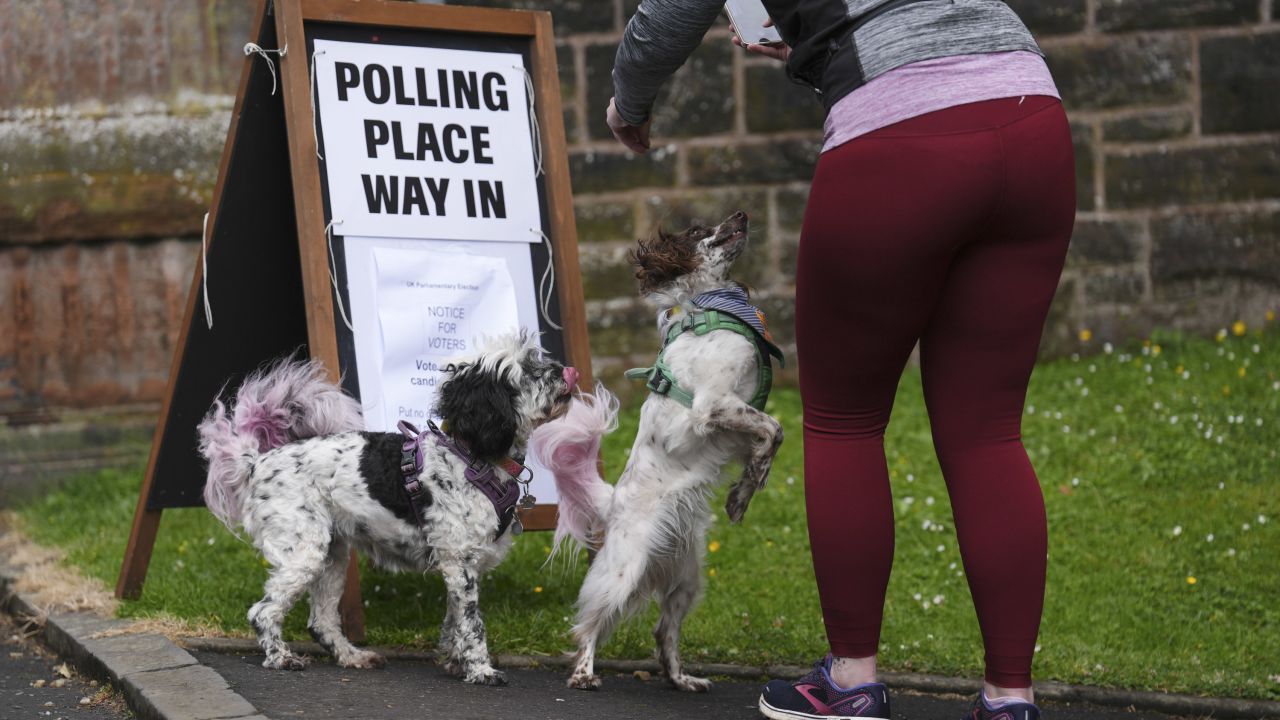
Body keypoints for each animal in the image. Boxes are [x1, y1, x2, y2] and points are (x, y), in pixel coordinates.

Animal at [197, 330, 578, 676]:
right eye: (527, 371)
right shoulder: (459, 563)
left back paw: (353, 657)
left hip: (332, 556)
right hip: (303, 552)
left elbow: (454, 620)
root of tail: (256, 462)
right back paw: (281, 658)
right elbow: (472, 624)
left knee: (321, 621)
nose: (568, 371)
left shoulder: (459, 565)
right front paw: (481, 670)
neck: (473, 457)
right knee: (262, 612)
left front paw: (456, 663)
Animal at [527, 208, 778, 691]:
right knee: (588, 623)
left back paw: (681, 679)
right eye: (699, 231)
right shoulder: (712, 406)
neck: (710, 308)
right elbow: (773, 430)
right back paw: (583, 673)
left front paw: (743, 494)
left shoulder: (732, 419)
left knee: (664, 632)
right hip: (622, 572)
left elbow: (768, 440)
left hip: (687, 581)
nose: (741, 213)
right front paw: (746, 491)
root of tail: (611, 503)